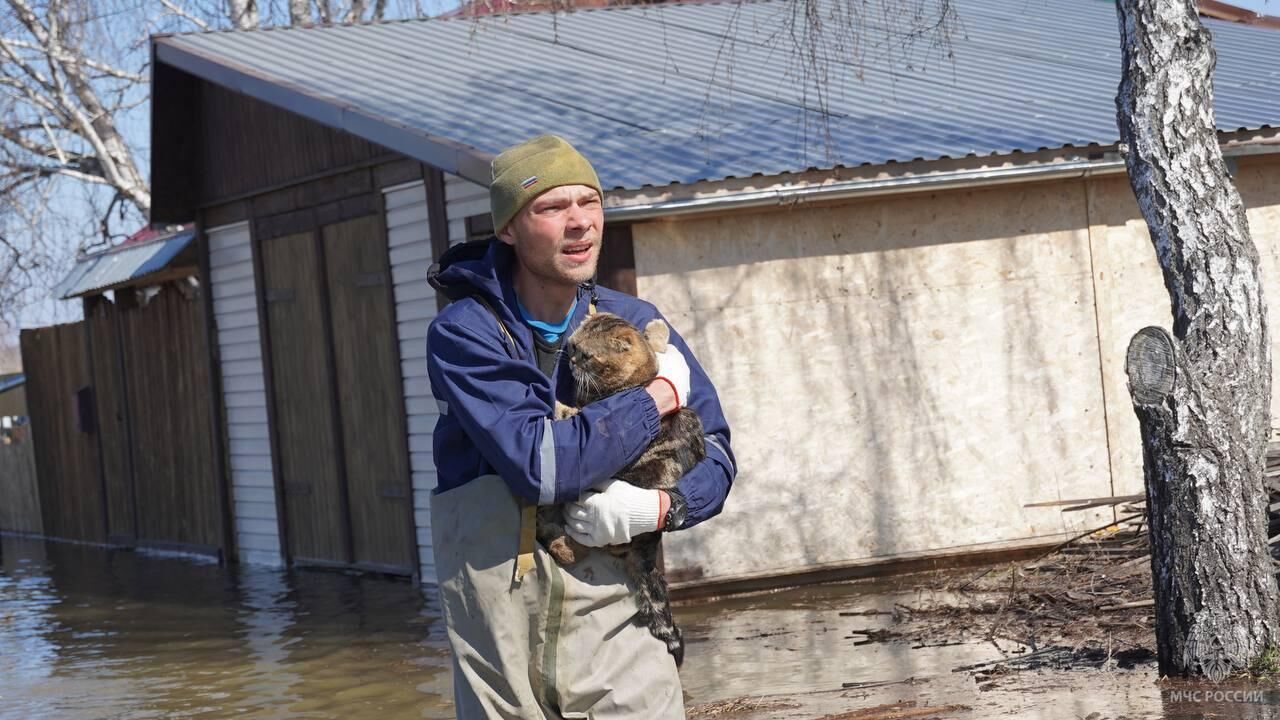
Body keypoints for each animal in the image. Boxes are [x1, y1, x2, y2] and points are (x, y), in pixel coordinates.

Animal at [535, 311, 706, 666]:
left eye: (587, 355)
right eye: (573, 346)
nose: (571, 359)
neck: (634, 385)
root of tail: (647, 547)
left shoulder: (592, 419)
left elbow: (566, 412)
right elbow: (656, 341)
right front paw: (656, 330)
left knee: (576, 546)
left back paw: (560, 541)